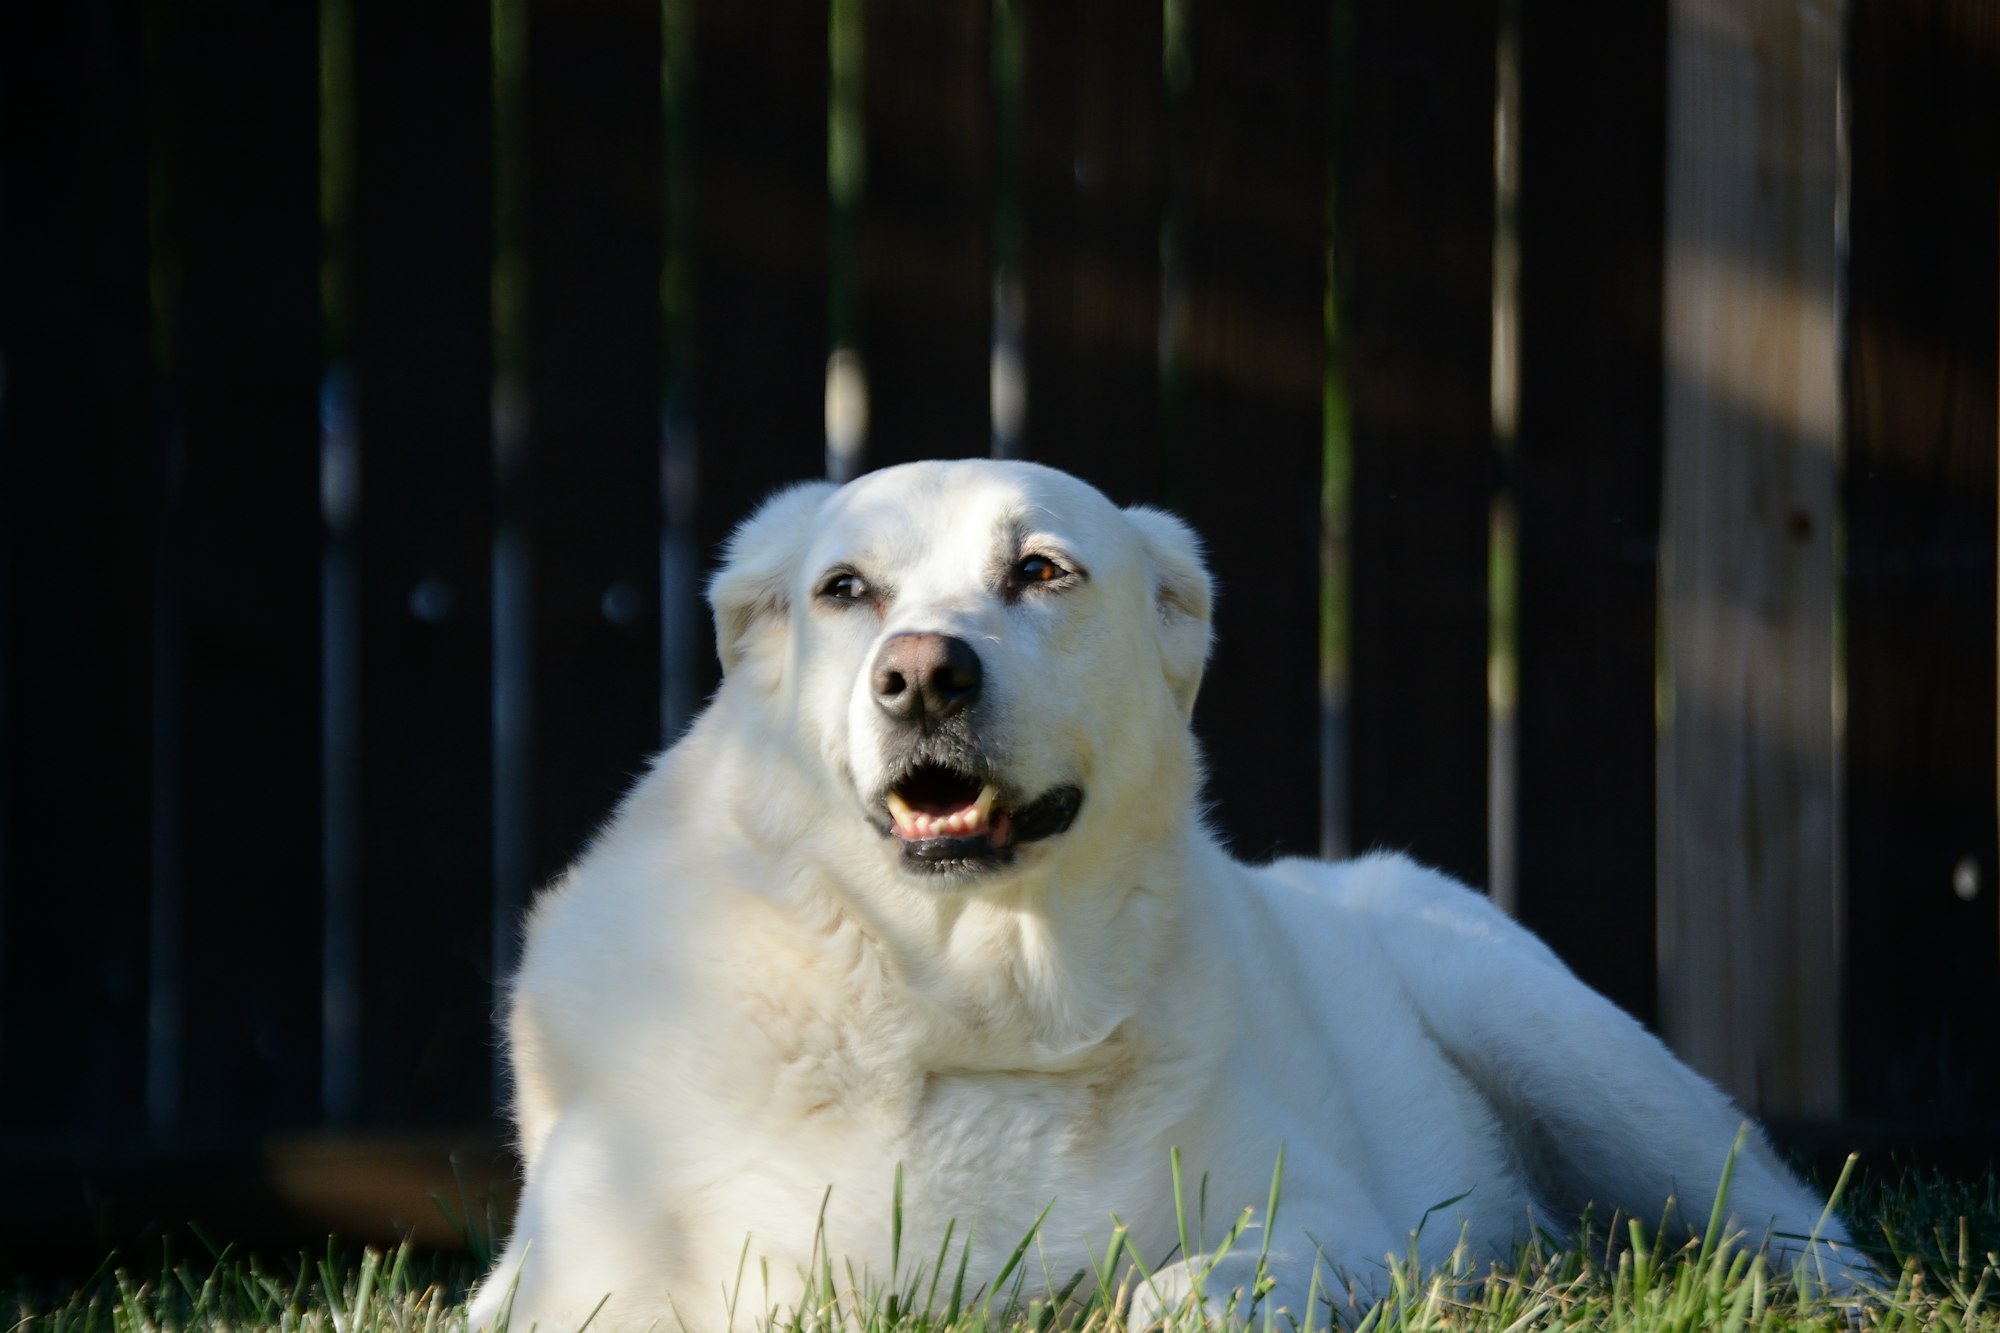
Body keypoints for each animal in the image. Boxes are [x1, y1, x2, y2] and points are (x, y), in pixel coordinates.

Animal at [468, 460, 1856, 1328]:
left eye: (1040, 571)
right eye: (844, 591)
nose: (921, 676)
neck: (969, 1012)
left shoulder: (1341, 1222)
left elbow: (1206, 1282)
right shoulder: (566, 1287)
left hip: (1574, 1053)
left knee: (1795, 1224)